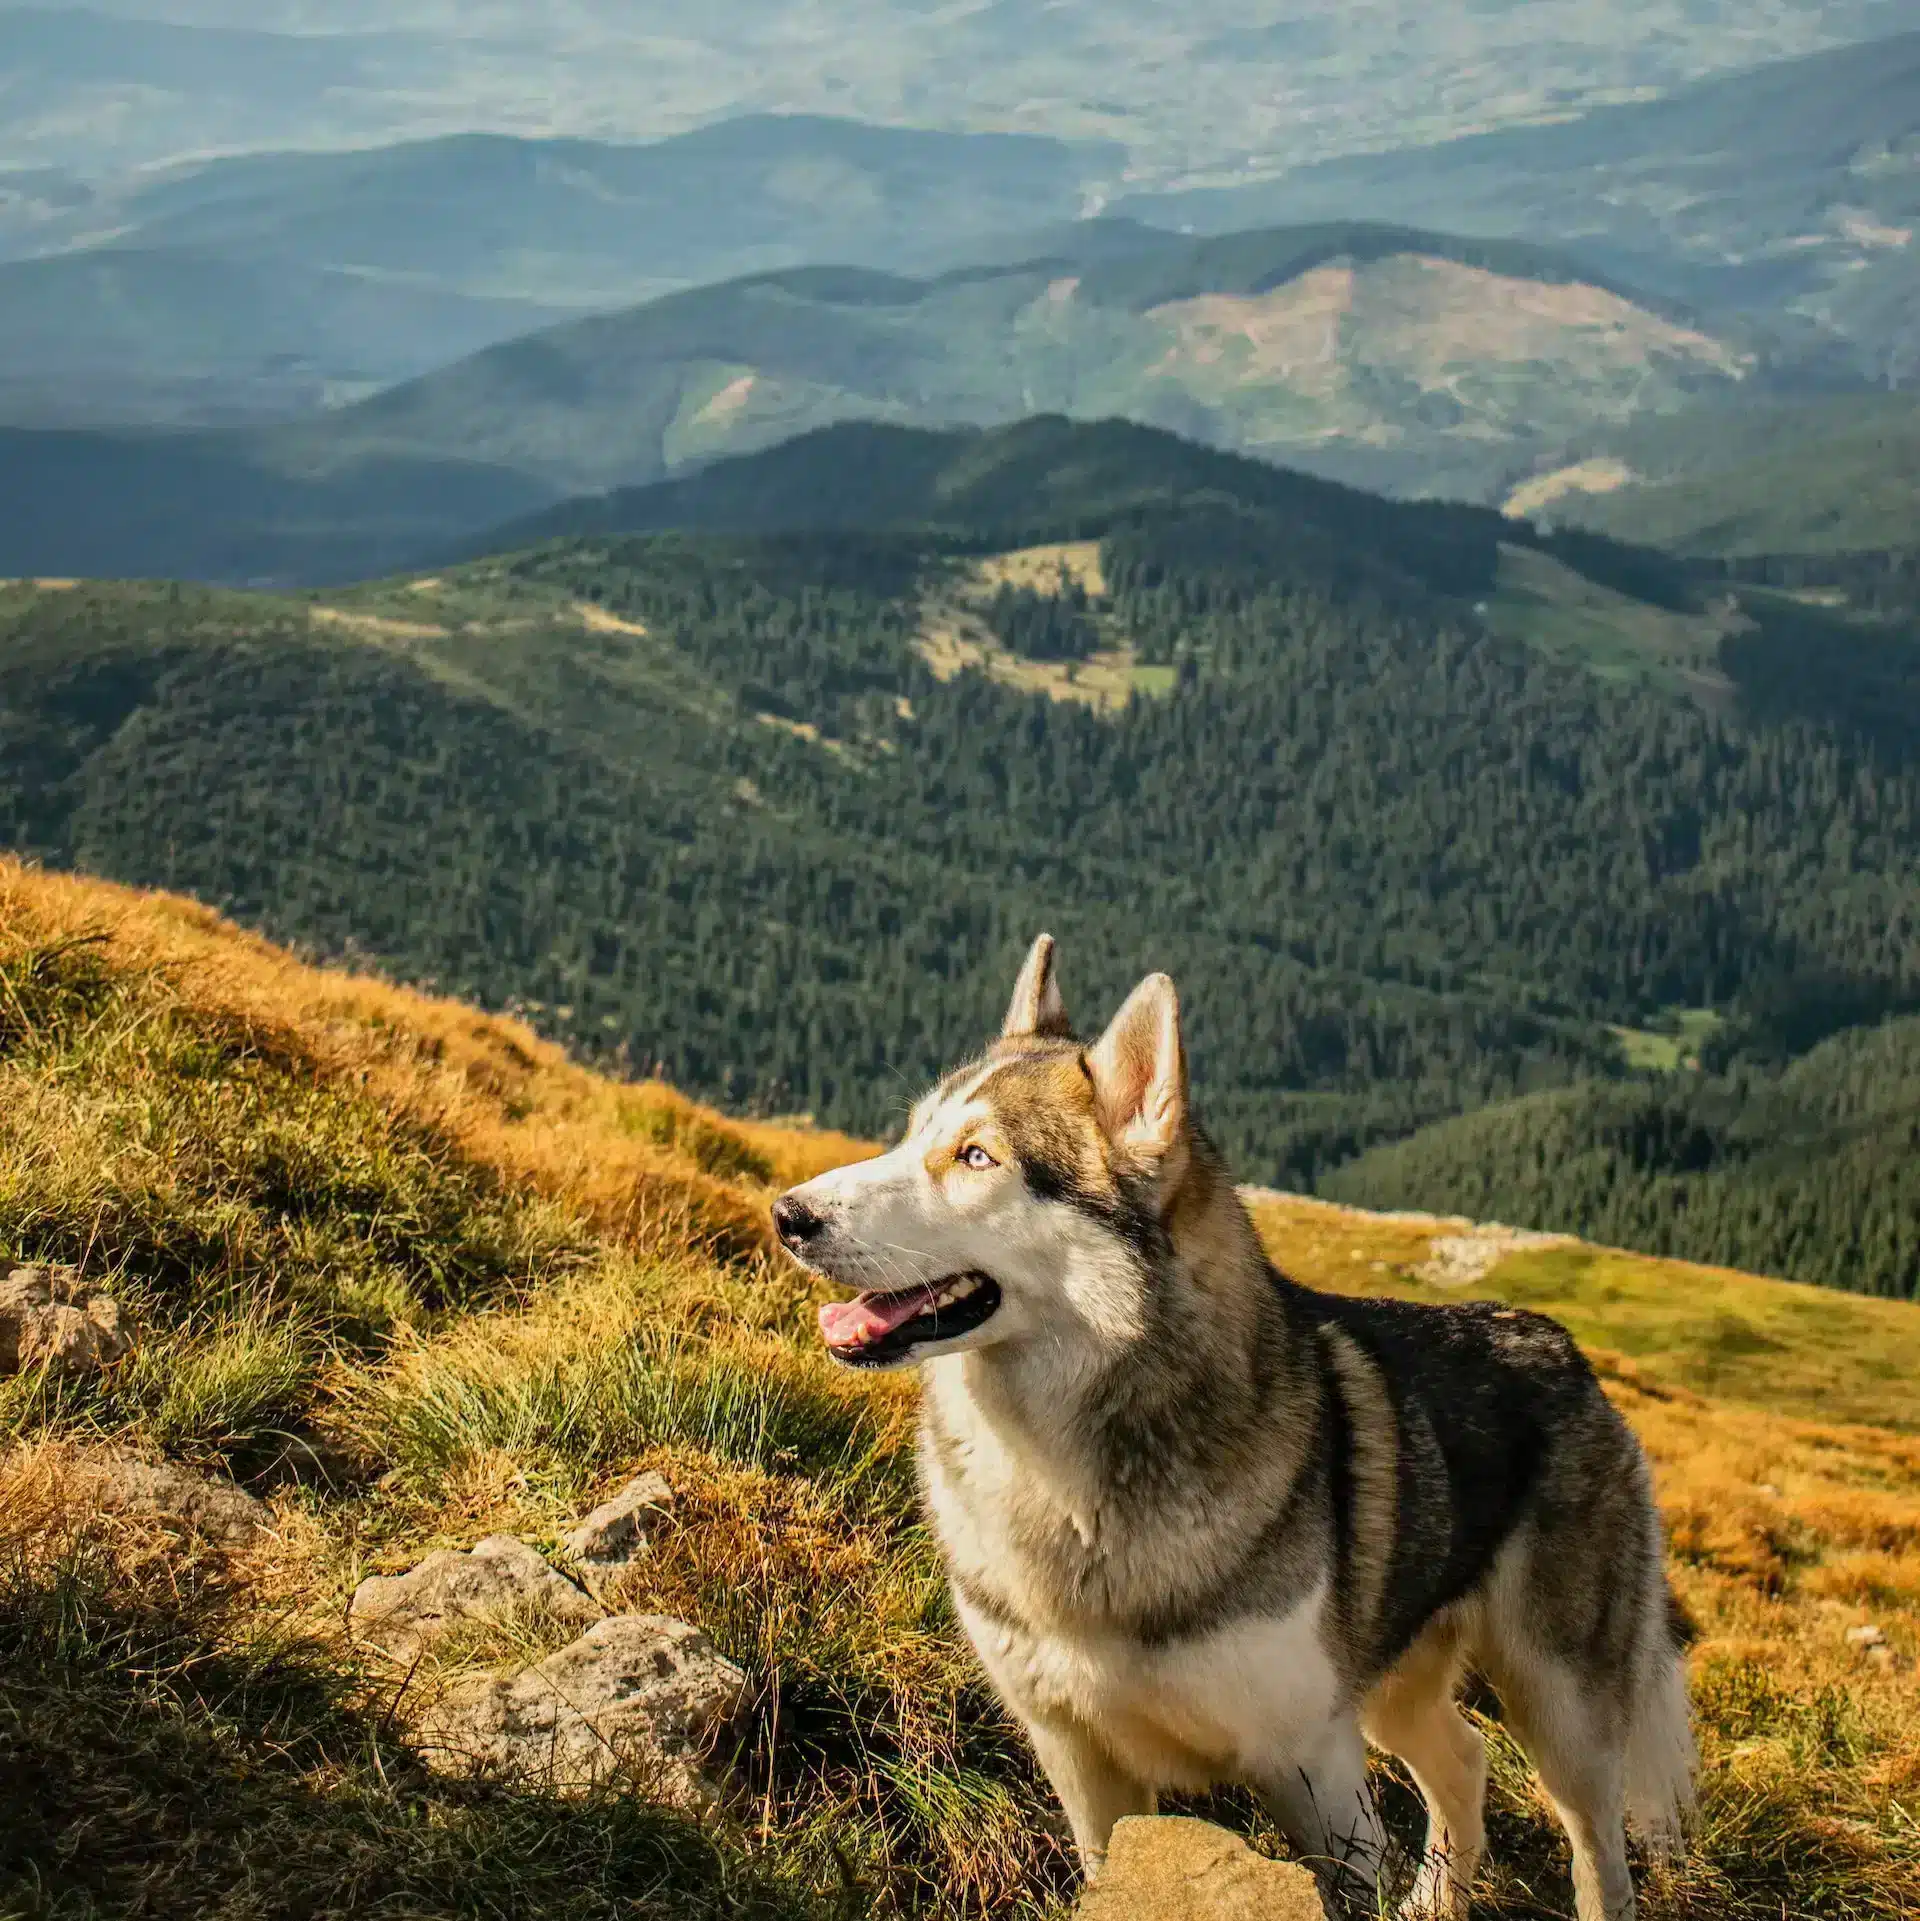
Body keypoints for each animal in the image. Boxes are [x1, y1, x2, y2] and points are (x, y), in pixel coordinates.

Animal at [768, 937, 1698, 1913]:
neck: (1066, 1483)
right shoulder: (1080, 1759)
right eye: (912, 1135)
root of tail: (1569, 1350)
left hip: (1561, 1713)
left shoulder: (1314, 1768)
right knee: (1466, 1758)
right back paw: (1432, 1902)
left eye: (976, 1156)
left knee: (1597, 1851)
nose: (787, 1214)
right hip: (1392, 1692)